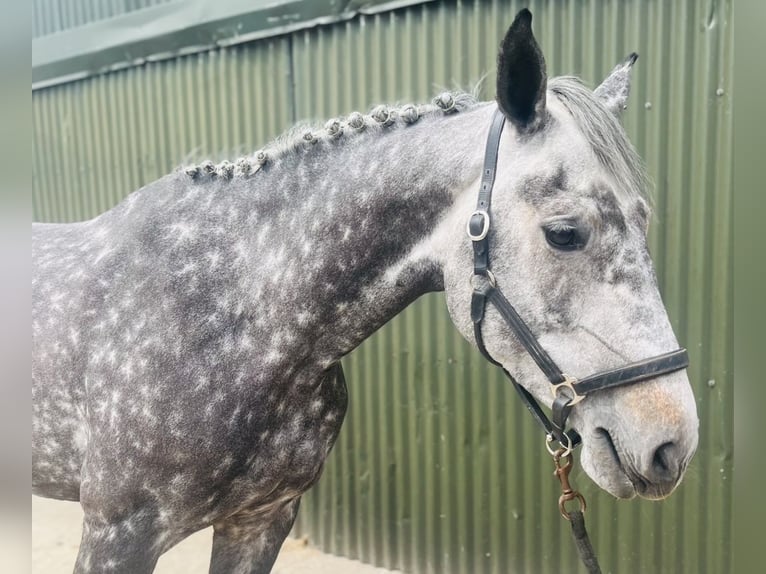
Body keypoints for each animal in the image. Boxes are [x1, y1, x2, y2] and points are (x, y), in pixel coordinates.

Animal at [32, 9, 698, 573]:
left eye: (643, 221)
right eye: (564, 233)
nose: (672, 444)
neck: (229, 312)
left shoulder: (260, 520)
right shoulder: (118, 536)